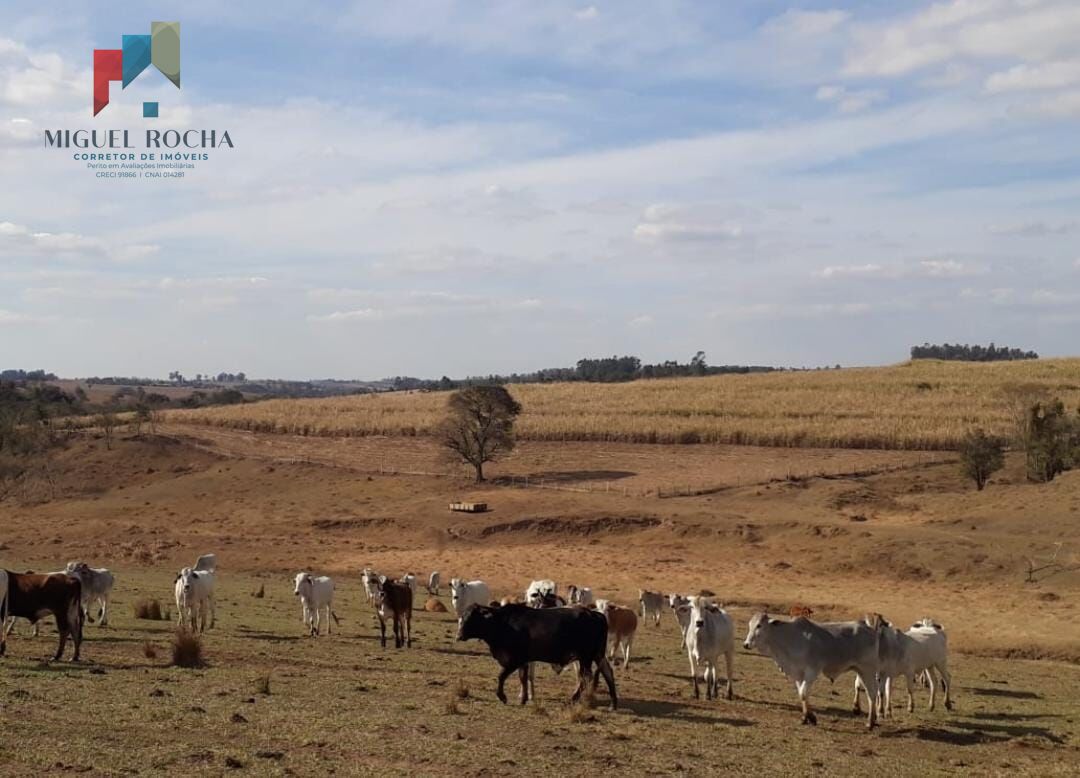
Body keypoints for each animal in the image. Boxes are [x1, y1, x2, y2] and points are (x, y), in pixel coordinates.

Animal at [457, 600, 617, 713]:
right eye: (463, 616)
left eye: (472, 617)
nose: (459, 636)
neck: (502, 623)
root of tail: (596, 615)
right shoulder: (523, 661)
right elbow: (522, 678)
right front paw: (523, 699)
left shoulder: (514, 660)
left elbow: (501, 676)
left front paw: (502, 697)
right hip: (597, 655)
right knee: (607, 673)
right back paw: (612, 704)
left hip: (586, 657)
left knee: (586, 678)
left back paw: (573, 699)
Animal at [743, 613, 885, 730]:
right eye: (750, 625)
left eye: (759, 625)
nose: (746, 644)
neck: (791, 638)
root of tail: (870, 628)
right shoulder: (798, 674)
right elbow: (802, 694)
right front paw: (806, 718)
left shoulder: (812, 671)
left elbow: (804, 693)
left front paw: (811, 717)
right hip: (860, 670)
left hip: (868, 670)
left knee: (872, 693)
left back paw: (870, 722)